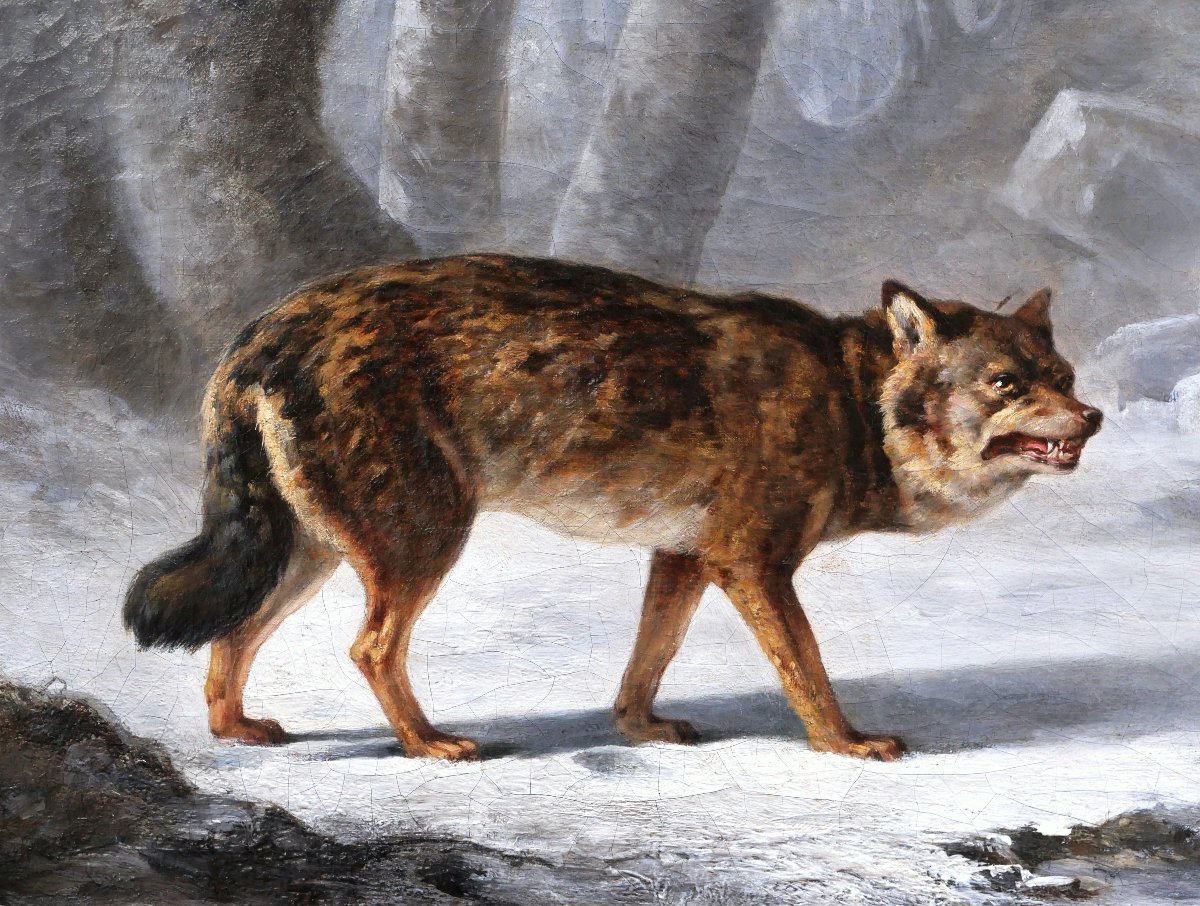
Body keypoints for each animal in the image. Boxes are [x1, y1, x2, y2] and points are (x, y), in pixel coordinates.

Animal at [123, 255, 1102, 761]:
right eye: (1006, 385)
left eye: (1063, 376)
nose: (1093, 417)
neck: (848, 396)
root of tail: (266, 331)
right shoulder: (754, 566)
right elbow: (809, 670)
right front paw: (845, 743)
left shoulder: (687, 559)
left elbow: (649, 657)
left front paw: (640, 729)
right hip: (419, 548)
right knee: (369, 648)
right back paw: (428, 744)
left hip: (310, 554)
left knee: (232, 636)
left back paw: (235, 731)